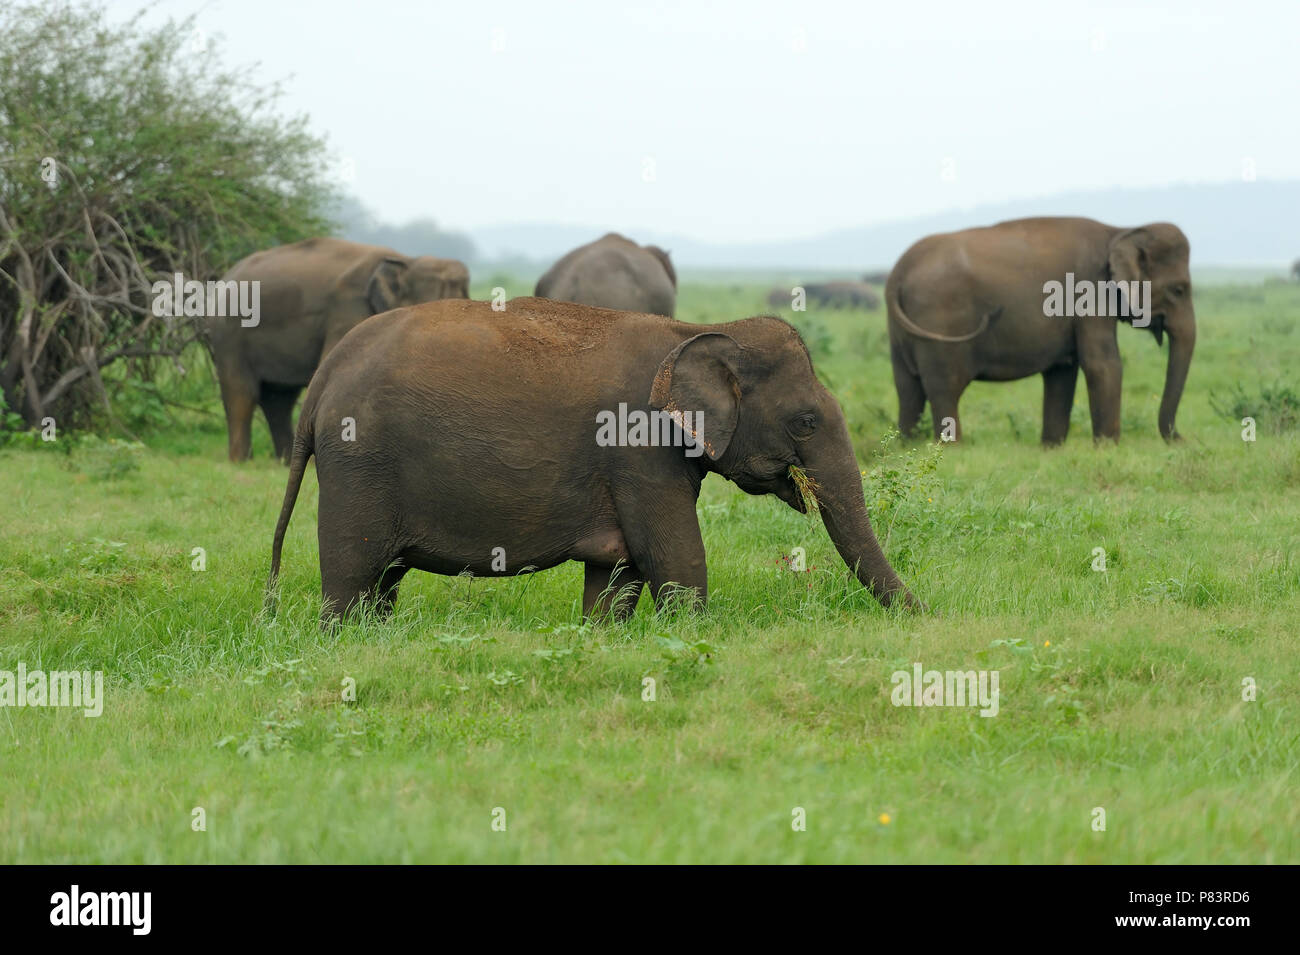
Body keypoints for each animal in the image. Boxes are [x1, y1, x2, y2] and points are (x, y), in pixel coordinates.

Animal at [206, 237, 469, 462]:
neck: (406, 260)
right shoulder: (347, 308)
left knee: (278, 400)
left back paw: (283, 461)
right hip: (228, 335)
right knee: (242, 392)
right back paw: (241, 461)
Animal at [267, 297, 920, 624]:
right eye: (805, 421)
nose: (923, 615)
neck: (697, 329)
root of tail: (327, 373)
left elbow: (619, 569)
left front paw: (599, 636)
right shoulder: (637, 447)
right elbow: (674, 556)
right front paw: (694, 635)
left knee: (384, 580)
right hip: (360, 461)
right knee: (353, 572)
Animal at [886, 217, 1195, 444]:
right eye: (1179, 290)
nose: (1180, 439)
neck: (1120, 231)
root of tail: (898, 271)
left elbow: (1062, 371)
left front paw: (1052, 448)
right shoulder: (1090, 292)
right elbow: (1103, 365)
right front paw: (1108, 448)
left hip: (900, 334)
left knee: (908, 390)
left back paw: (907, 446)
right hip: (940, 324)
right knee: (945, 388)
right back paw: (952, 448)